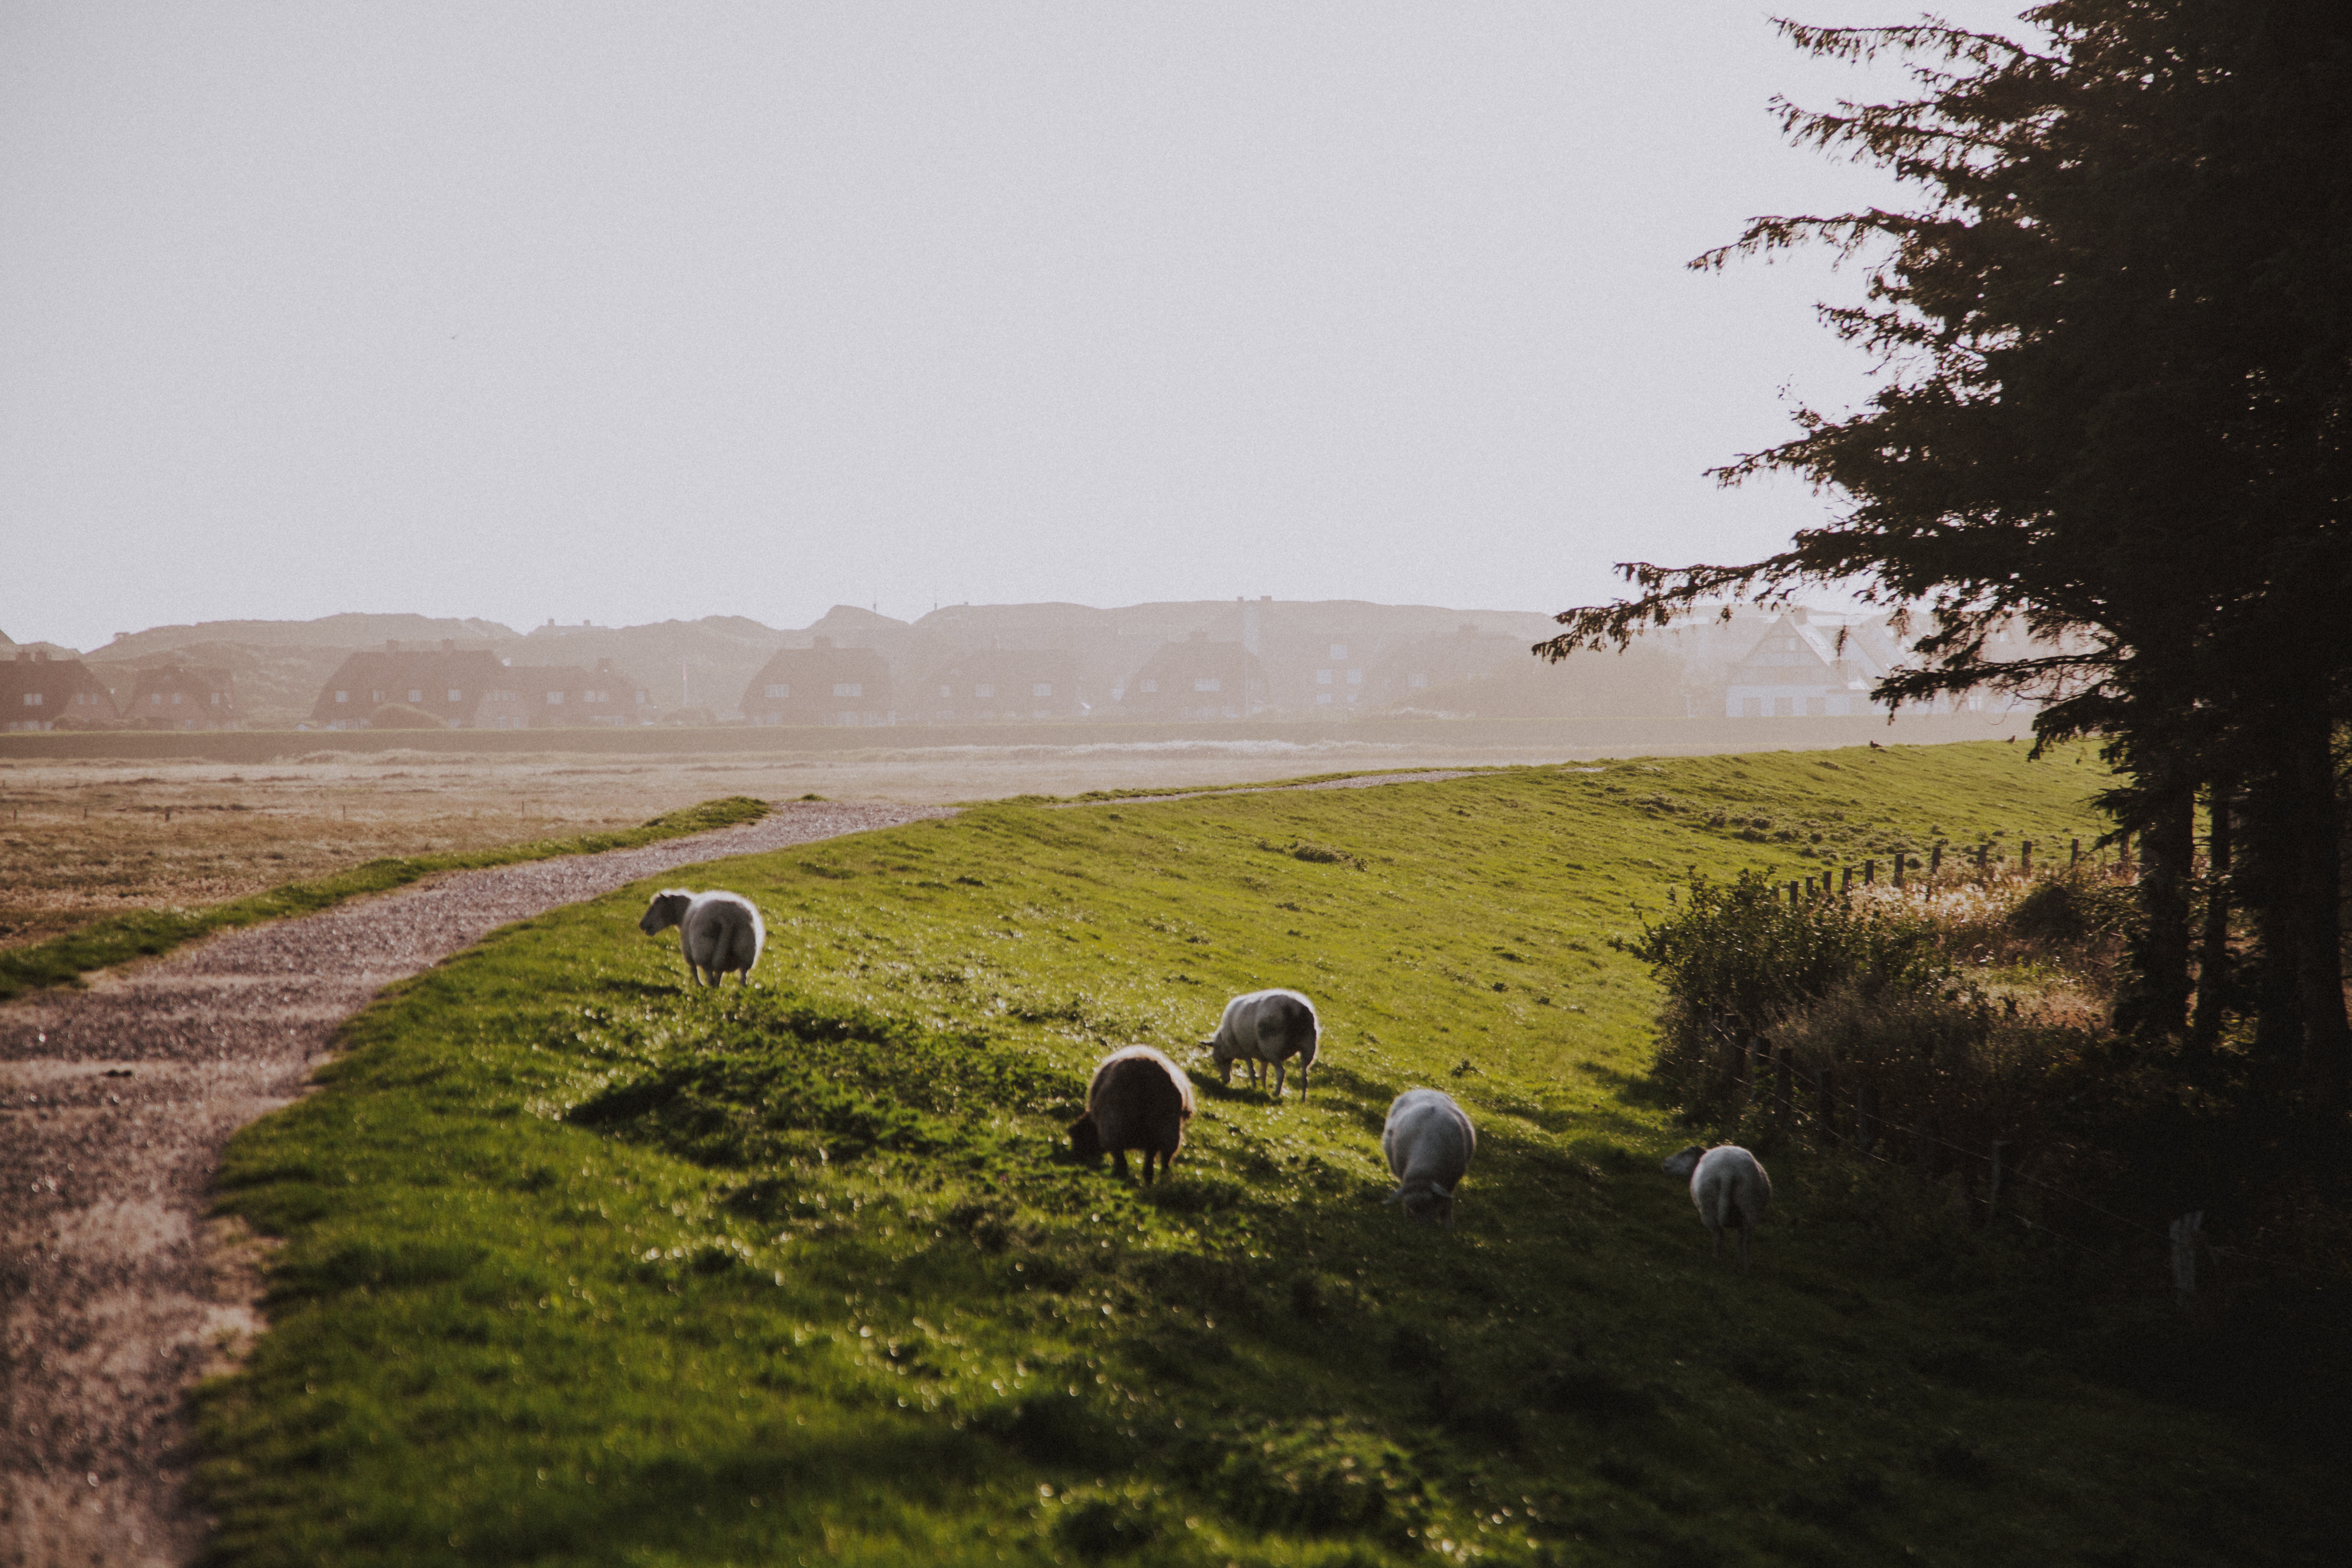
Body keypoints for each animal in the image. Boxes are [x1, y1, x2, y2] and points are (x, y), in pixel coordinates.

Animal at [635, 888, 762, 987]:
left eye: (656, 905)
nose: (641, 925)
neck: (683, 913)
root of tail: (728, 918)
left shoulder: (688, 951)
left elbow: (693, 969)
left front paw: (698, 986)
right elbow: (719, 972)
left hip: (704, 949)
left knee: (709, 973)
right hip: (746, 949)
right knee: (742, 977)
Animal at [1068, 1048, 1194, 1185]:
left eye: (1078, 1138)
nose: (1075, 1158)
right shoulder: (1152, 1141)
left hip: (1115, 1126)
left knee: (1122, 1161)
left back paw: (1121, 1178)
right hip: (1166, 1128)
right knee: (1163, 1161)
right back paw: (1158, 1181)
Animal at [1204, 992, 1317, 1105]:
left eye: (1217, 1060)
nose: (1225, 1081)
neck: (1225, 1043)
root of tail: (1296, 1009)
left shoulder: (1245, 1050)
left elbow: (1251, 1071)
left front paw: (1254, 1087)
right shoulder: (1263, 1057)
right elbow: (1263, 1073)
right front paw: (1263, 1089)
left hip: (1271, 1048)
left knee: (1281, 1072)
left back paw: (1276, 1094)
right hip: (1308, 1047)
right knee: (1304, 1076)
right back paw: (1303, 1099)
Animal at [1373, 1091, 1467, 1222]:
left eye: (1431, 1202)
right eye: (1412, 1208)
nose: (1425, 1226)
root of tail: (1425, 1090)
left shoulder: (1451, 1182)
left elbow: (1447, 1204)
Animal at [1665, 1142, 1769, 1279]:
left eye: (1684, 1153)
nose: (1665, 1164)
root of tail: (1728, 1171)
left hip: (1709, 1207)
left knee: (1718, 1235)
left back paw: (1717, 1262)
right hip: (1749, 1205)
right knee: (1745, 1241)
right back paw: (1745, 1268)